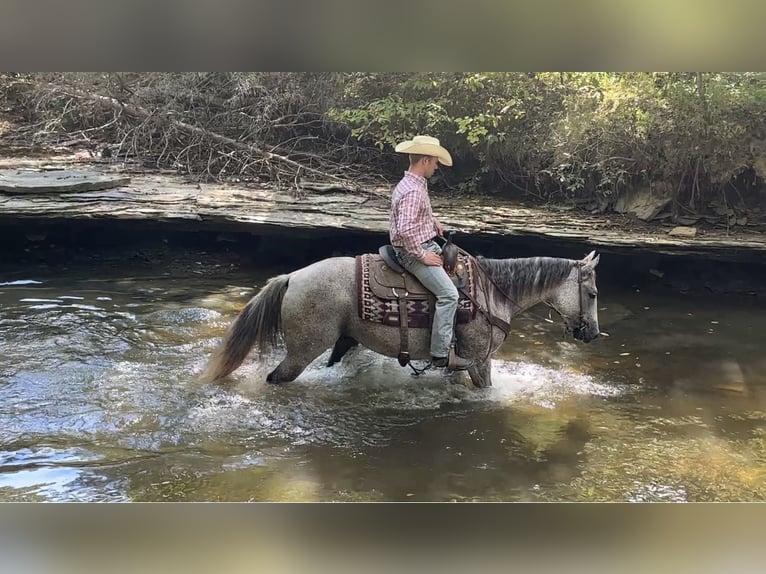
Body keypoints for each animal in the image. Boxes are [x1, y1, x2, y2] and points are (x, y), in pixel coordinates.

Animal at [200, 250, 601, 389]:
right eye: (594, 294)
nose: (593, 334)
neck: (493, 293)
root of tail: (292, 277)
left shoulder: (460, 363)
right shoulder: (479, 359)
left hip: (343, 341)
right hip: (303, 350)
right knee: (277, 378)